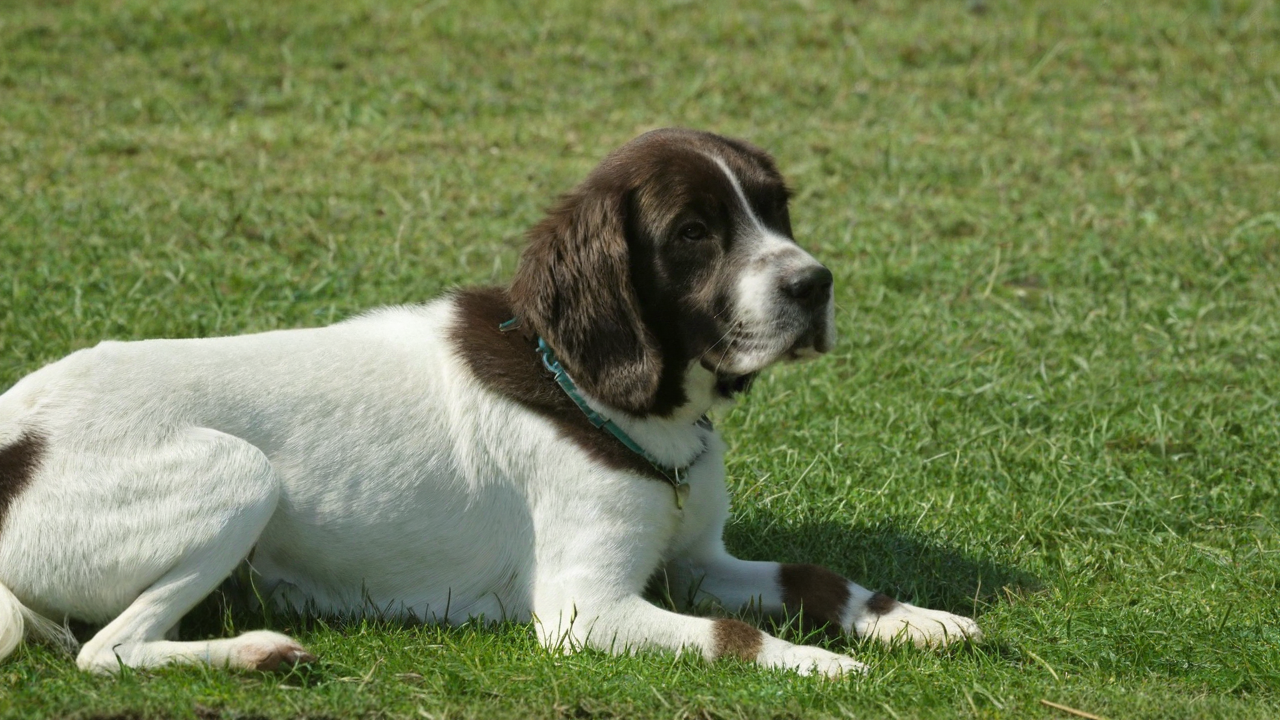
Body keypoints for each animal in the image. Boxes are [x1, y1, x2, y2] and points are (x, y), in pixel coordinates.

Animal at [0, 127, 977, 671]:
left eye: (777, 210)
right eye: (695, 233)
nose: (815, 284)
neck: (594, 389)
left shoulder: (700, 560)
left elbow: (817, 577)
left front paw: (914, 620)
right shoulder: (587, 613)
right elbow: (730, 636)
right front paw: (826, 666)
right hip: (241, 473)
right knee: (104, 651)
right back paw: (254, 652)